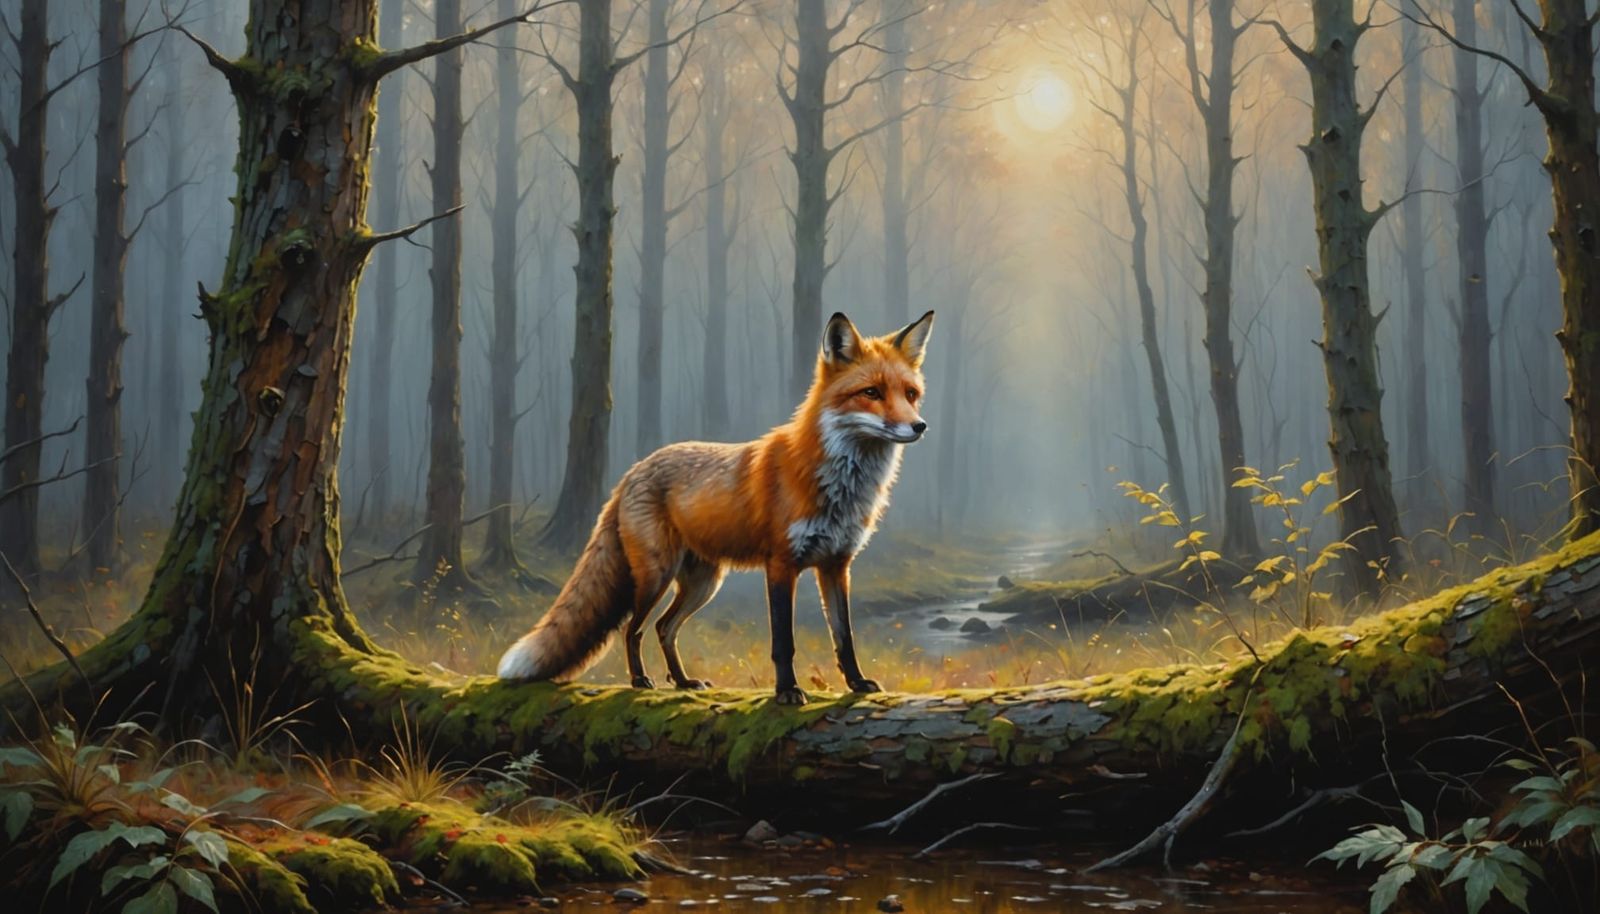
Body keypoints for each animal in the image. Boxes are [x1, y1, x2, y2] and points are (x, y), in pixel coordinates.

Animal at [497, 310, 935, 704]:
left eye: (910, 394)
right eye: (872, 393)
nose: (920, 426)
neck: (840, 487)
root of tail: (633, 471)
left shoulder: (836, 565)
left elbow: (844, 637)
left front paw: (857, 684)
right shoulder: (781, 564)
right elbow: (784, 641)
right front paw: (786, 691)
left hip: (703, 583)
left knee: (664, 628)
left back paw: (683, 682)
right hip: (656, 577)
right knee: (633, 629)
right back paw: (640, 680)